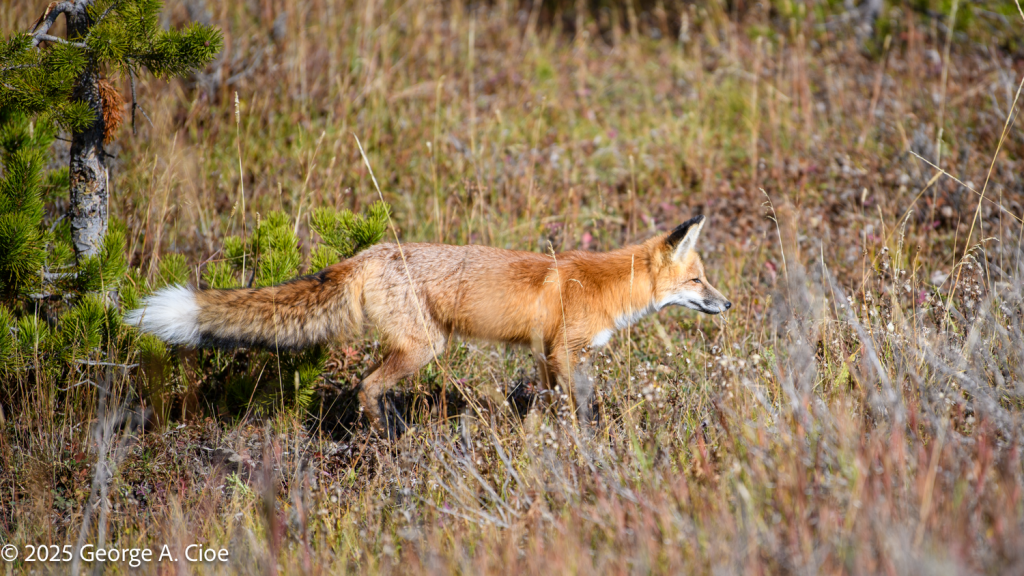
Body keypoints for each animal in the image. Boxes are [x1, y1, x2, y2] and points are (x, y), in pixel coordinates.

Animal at [125, 214, 730, 435]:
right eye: (698, 280)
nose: (727, 304)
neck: (604, 285)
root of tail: (366, 254)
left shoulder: (544, 353)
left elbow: (546, 400)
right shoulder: (565, 351)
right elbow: (580, 401)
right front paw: (586, 441)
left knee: (367, 384)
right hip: (424, 347)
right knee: (365, 386)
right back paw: (386, 437)